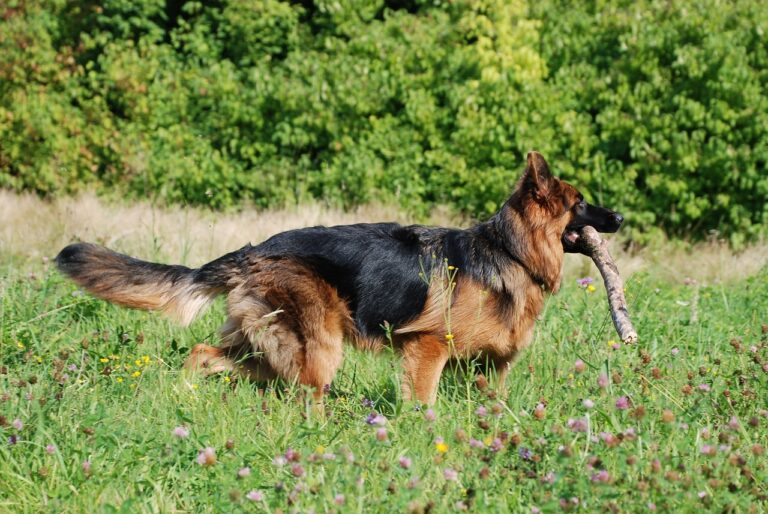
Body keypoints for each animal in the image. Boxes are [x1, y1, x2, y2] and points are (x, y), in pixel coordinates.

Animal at [55, 150, 624, 402]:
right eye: (580, 204)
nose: (619, 217)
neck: (509, 252)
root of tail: (255, 250)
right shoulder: (426, 350)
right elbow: (424, 405)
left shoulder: (488, 367)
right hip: (316, 348)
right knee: (307, 396)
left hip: (265, 347)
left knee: (202, 353)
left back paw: (182, 397)